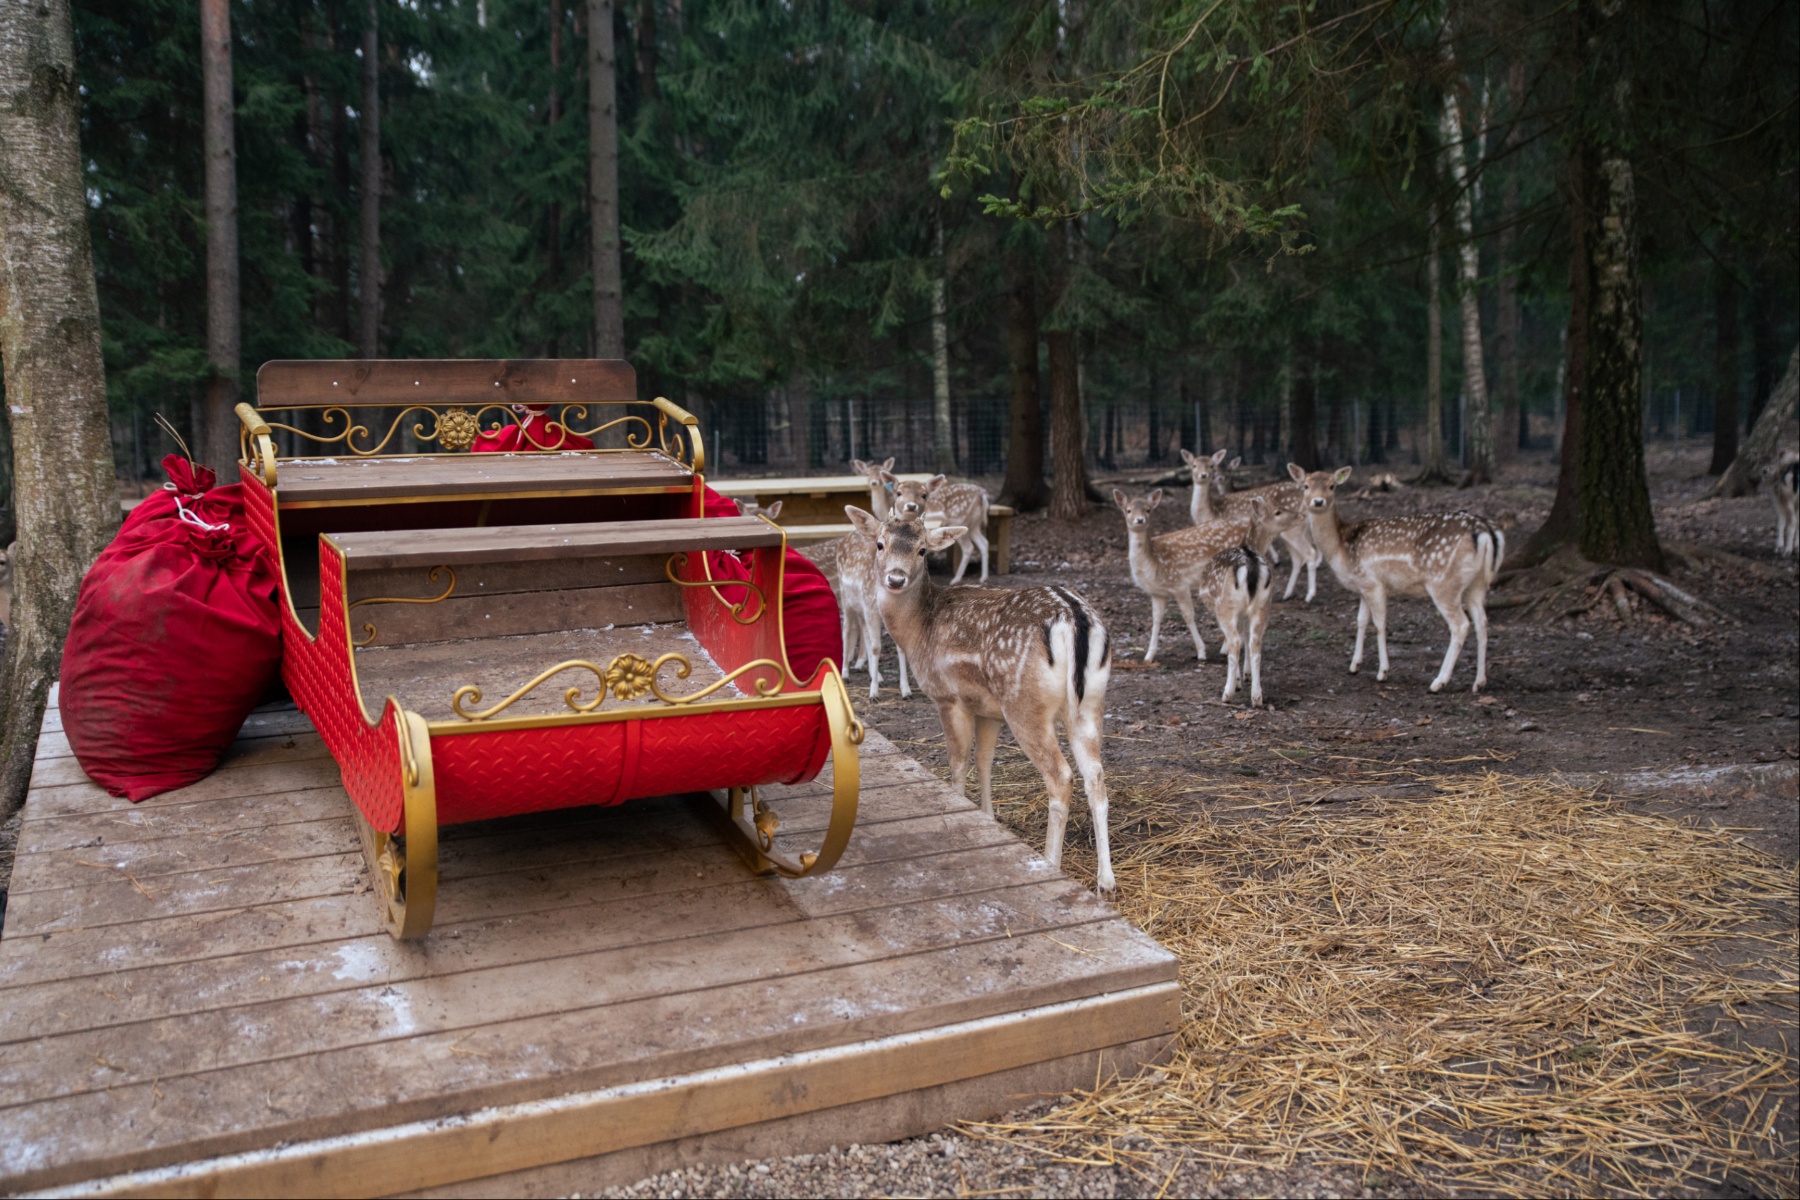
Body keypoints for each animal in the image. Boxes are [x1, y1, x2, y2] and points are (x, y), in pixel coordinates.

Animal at [849, 507, 1116, 892]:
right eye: (880, 544)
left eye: (922, 551)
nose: (895, 579)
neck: (918, 632)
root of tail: (1073, 617)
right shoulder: (989, 710)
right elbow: (985, 761)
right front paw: (989, 817)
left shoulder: (949, 697)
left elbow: (958, 763)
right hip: (1091, 702)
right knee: (1096, 776)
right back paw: (1106, 880)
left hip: (1025, 704)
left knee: (1061, 776)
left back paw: (1051, 862)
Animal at [1180, 447, 1324, 604]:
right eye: (1193, 465)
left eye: (1211, 465)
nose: (1204, 475)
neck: (1210, 512)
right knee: (1299, 557)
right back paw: (1287, 594)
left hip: (1294, 531)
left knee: (1309, 552)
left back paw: (1309, 595)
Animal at [1296, 467, 1504, 698]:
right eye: (1306, 485)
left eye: (1332, 485)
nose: (1318, 501)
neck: (1340, 547)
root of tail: (1486, 532)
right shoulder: (1363, 586)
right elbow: (1360, 620)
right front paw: (1354, 665)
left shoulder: (1373, 583)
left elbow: (1379, 623)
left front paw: (1382, 672)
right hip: (1477, 584)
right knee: (1482, 621)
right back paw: (1479, 682)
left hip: (1444, 583)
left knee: (1461, 624)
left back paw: (1438, 682)